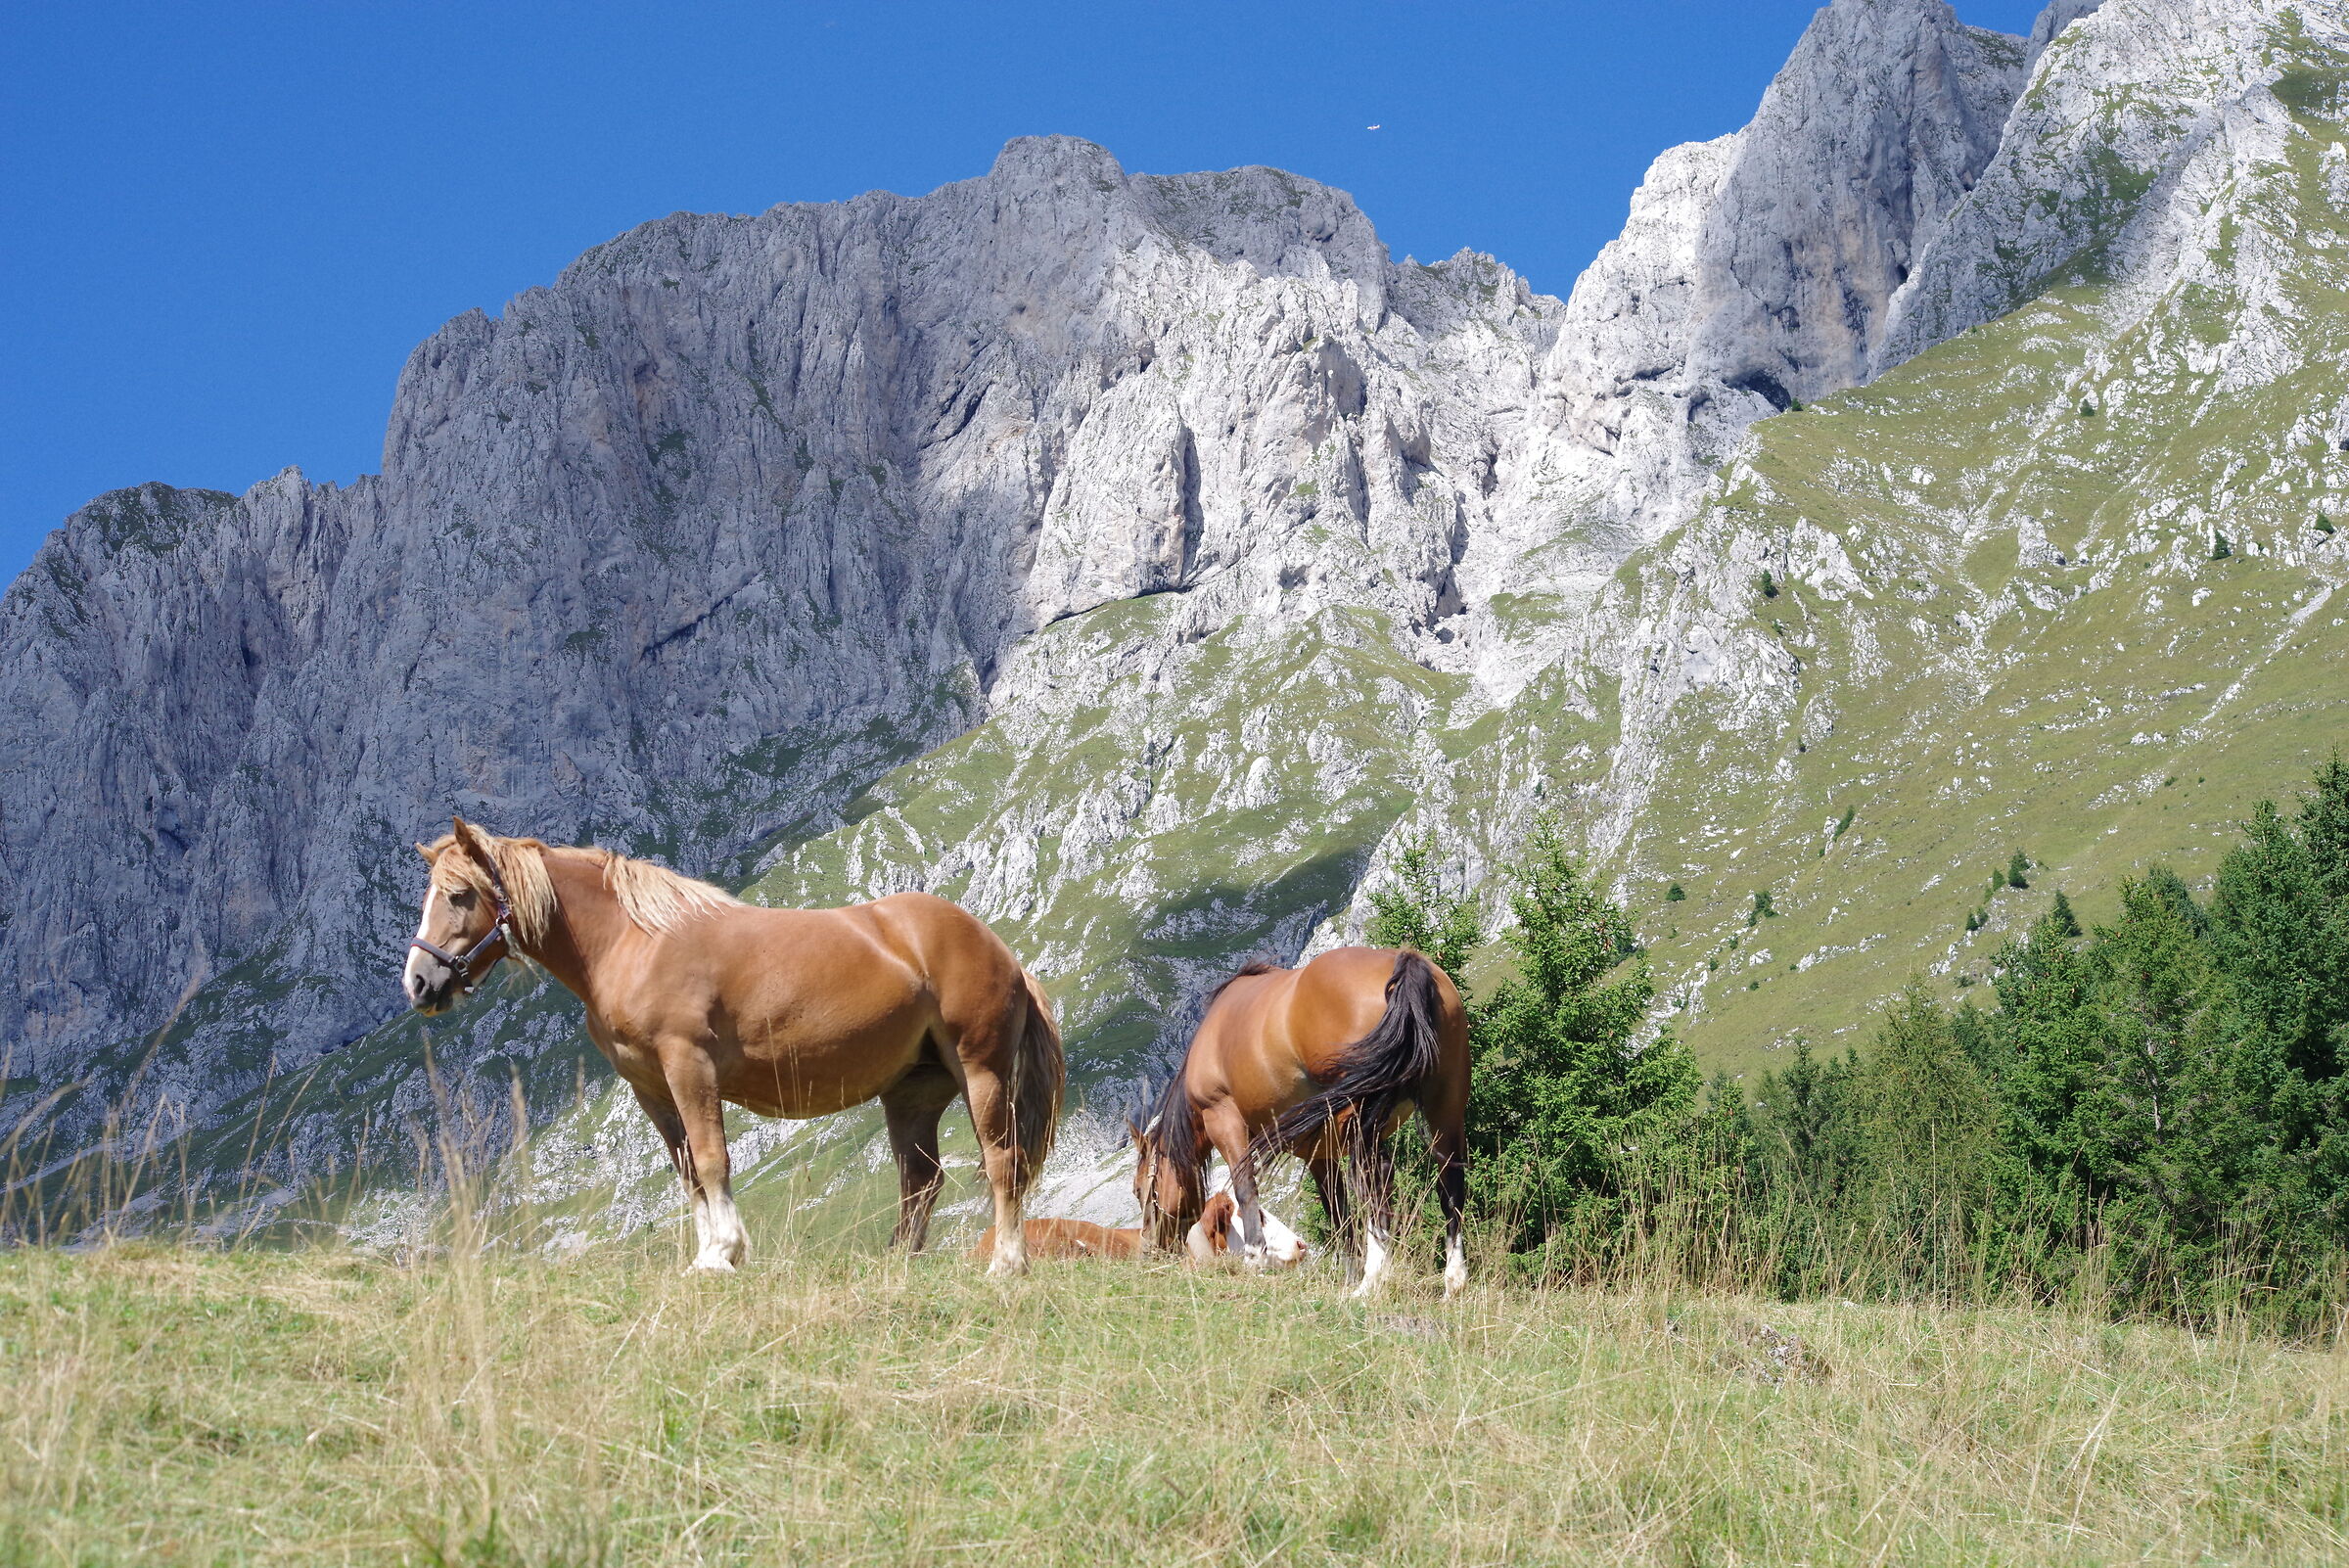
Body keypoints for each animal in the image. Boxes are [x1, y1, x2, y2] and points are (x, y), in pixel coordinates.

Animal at [402, 817, 1062, 1276]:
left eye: (459, 895)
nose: (419, 982)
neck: (634, 941)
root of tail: (1000, 951)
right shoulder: (651, 1088)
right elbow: (690, 1171)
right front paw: (705, 1253)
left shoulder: (689, 1066)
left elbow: (713, 1158)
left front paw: (723, 1253)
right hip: (912, 1093)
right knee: (920, 1180)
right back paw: (897, 1263)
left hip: (981, 1073)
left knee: (1002, 1163)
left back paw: (1006, 1264)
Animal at [1130, 947, 1469, 1299]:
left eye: (1139, 1189)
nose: (1149, 1247)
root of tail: (1404, 962)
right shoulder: (1320, 1151)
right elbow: (1337, 1208)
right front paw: (1348, 1274)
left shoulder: (1222, 1117)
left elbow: (1245, 1189)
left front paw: (1255, 1259)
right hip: (1445, 1108)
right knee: (1450, 1183)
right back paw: (1453, 1280)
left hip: (1366, 1121)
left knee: (1376, 1185)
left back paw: (1373, 1280)